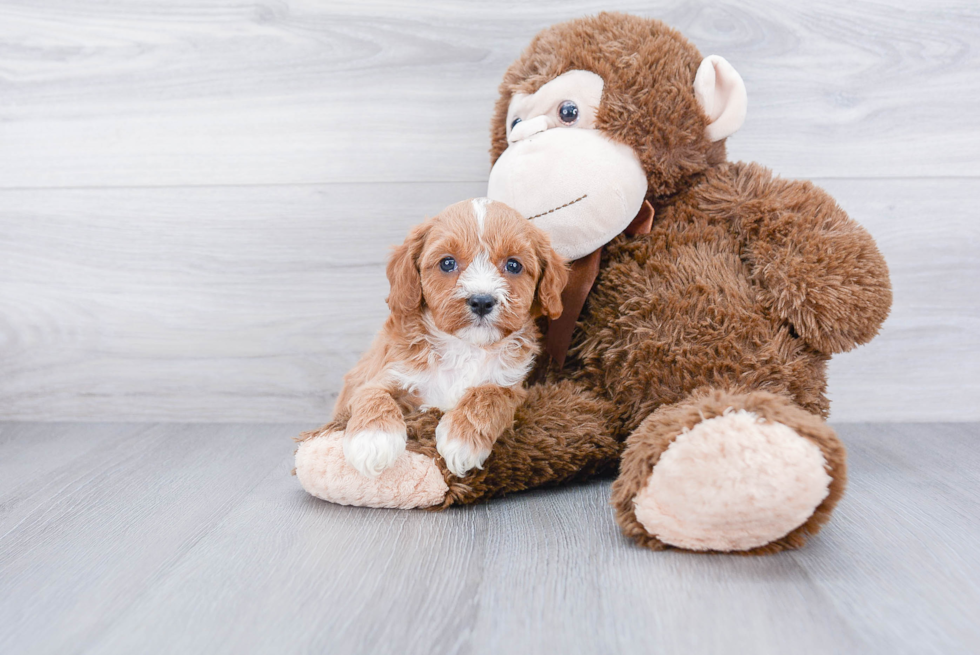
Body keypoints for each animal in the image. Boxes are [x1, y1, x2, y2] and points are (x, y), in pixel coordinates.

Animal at [336, 197, 568, 480]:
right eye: (447, 263)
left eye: (513, 265)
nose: (482, 301)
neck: (465, 347)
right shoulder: (385, 374)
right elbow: (373, 394)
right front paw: (372, 442)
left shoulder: (511, 386)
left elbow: (489, 395)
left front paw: (462, 440)